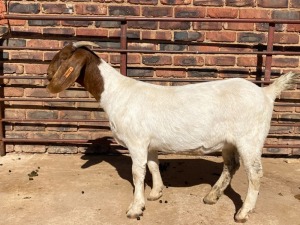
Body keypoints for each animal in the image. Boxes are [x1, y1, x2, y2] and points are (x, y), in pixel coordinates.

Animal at [47, 41, 300, 222]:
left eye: (62, 57)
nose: (46, 75)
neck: (116, 93)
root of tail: (267, 93)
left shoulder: (137, 142)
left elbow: (137, 174)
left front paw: (135, 207)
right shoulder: (149, 143)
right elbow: (153, 166)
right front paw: (156, 193)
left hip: (250, 139)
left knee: (255, 174)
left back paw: (243, 213)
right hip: (229, 142)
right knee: (231, 165)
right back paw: (212, 196)